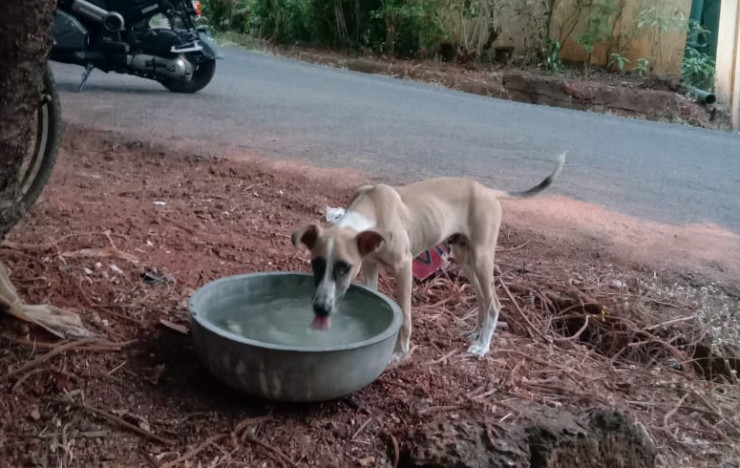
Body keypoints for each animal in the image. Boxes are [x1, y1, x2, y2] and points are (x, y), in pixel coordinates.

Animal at [292, 154, 564, 362]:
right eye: (316, 263)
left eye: (344, 268)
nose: (321, 309)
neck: (370, 213)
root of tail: (487, 191)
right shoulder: (369, 264)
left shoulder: (404, 268)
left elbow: (405, 316)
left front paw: (401, 352)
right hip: (465, 258)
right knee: (482, 298)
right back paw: (476, 332)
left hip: (481, 257)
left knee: (495, 303)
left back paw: (482, 346)